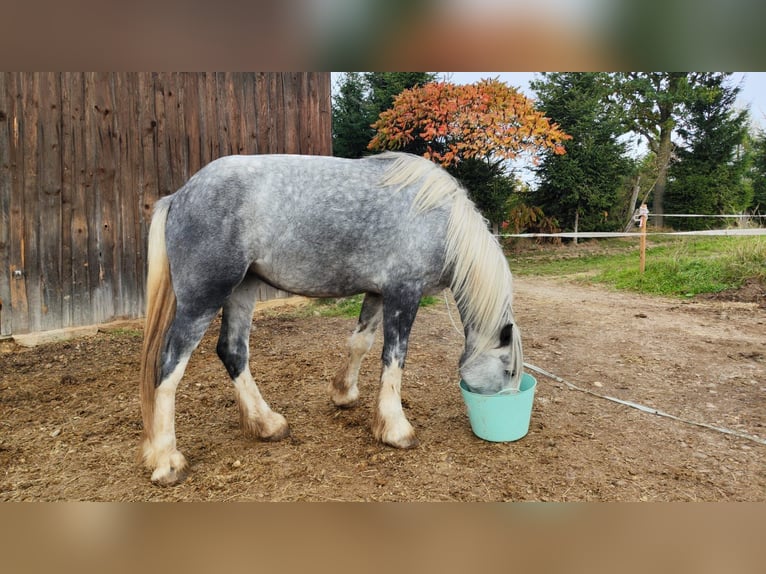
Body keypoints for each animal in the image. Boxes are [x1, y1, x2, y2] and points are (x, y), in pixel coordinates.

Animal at [139, 151, 523, 484]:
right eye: (508, 370)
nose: (506, 404)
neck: (439, 219)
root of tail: (179, 196)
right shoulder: (404, 293)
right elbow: (394, 358)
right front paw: (396, 429)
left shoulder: (378, 293)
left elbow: (360, 343)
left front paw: (343, 393)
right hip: (204, 297)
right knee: (170, 364)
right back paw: (167, 460)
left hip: (241, 289)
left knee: (232, 351)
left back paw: (267, 424)